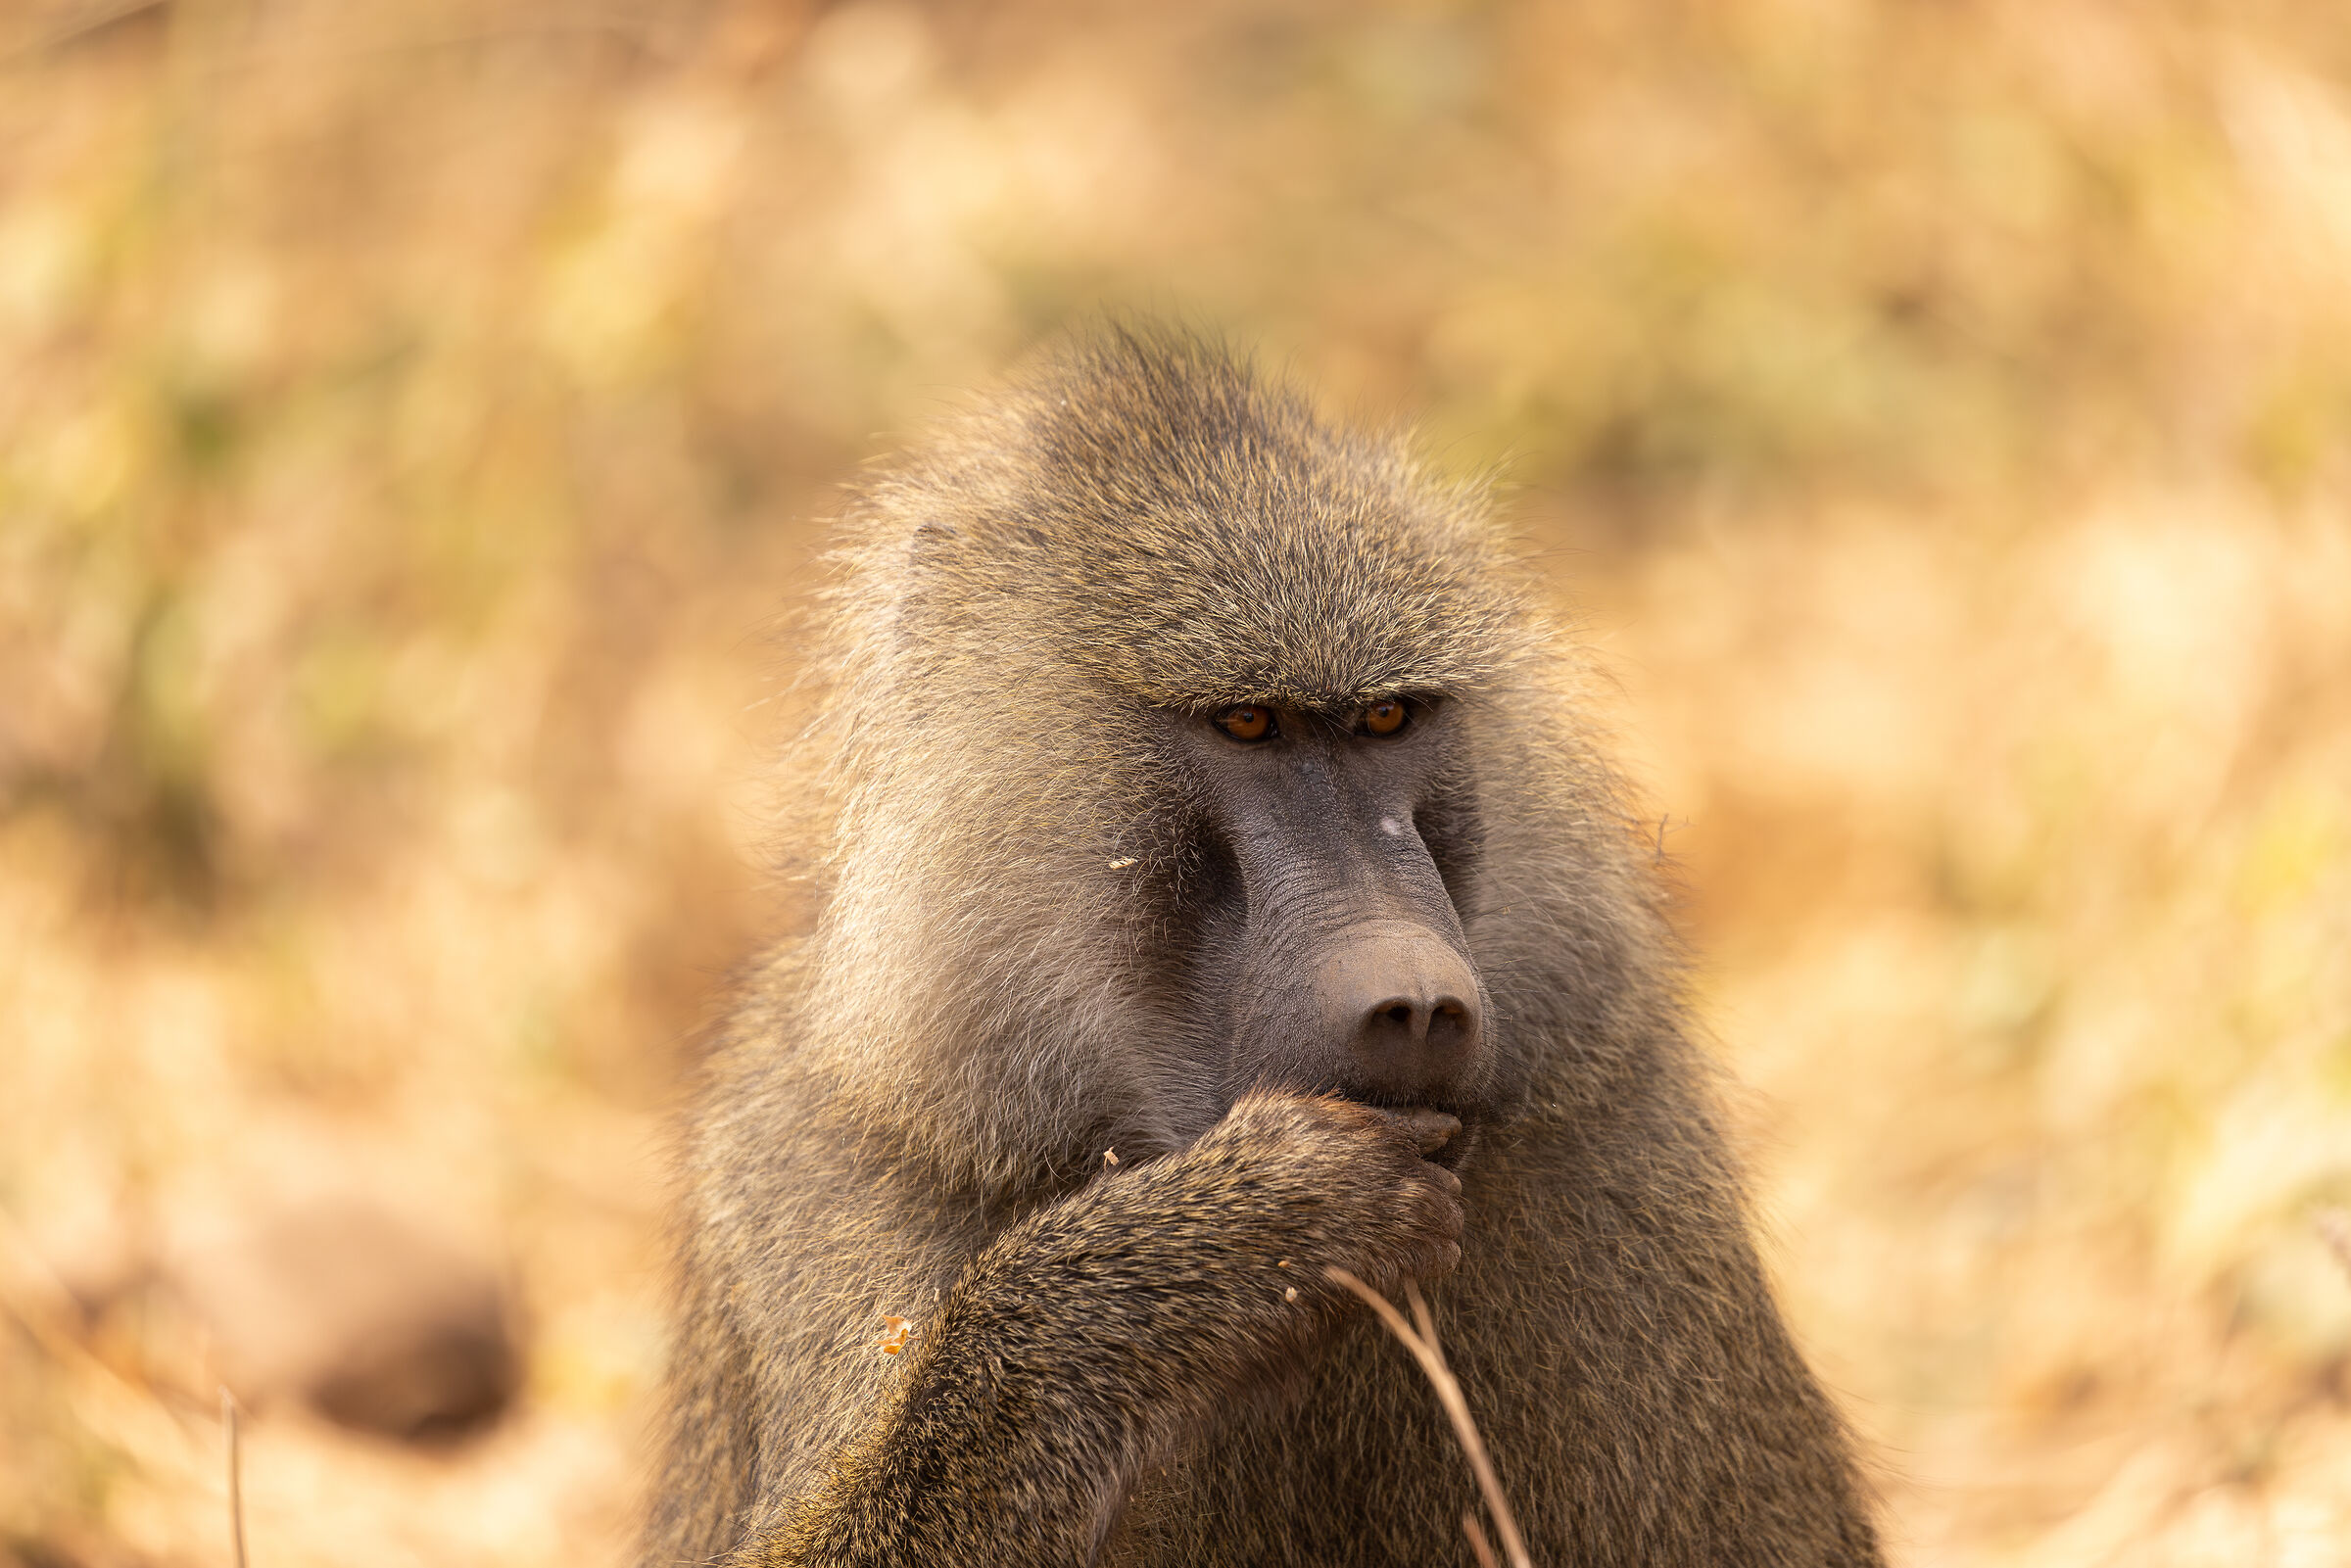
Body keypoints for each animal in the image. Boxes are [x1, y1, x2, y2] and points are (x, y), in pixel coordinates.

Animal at [640, 326, 1882, 1567]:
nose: (1415, 1000)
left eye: (1387, 718)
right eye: (1247, 722)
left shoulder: (1619, 1142)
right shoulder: (809, 1157)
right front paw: (1230, 1240)